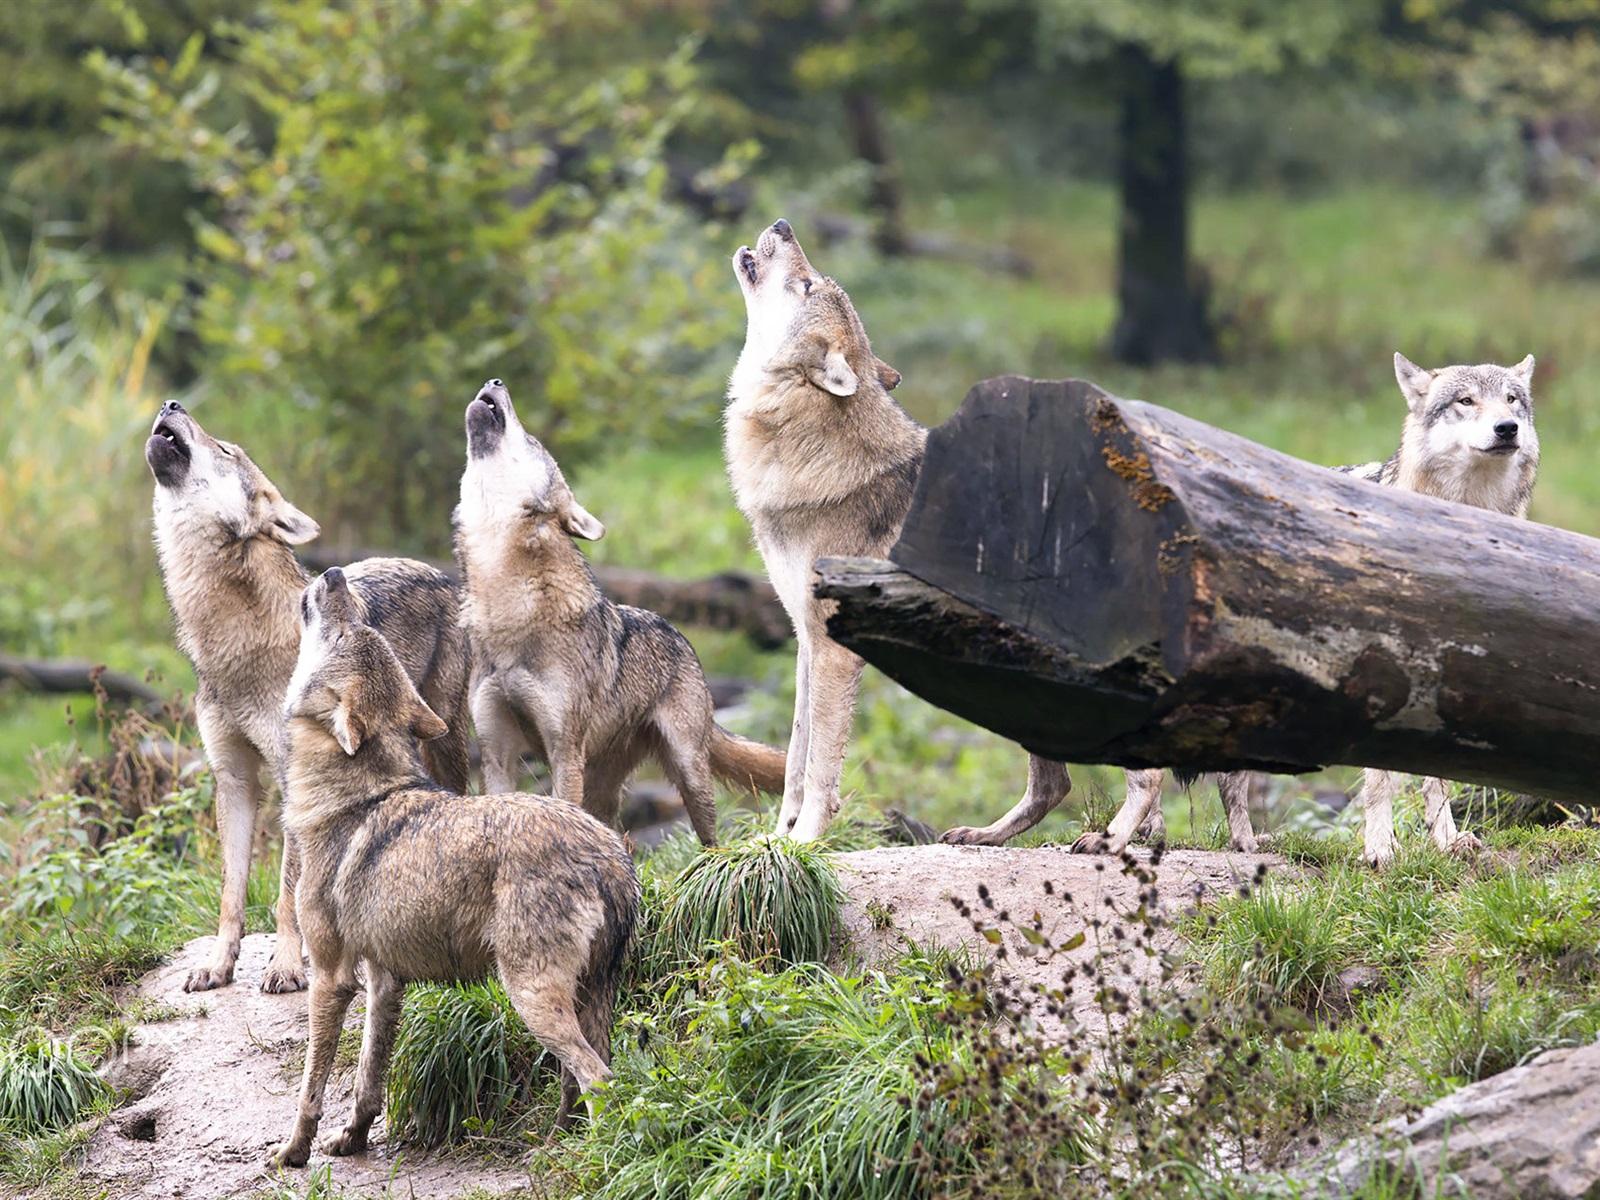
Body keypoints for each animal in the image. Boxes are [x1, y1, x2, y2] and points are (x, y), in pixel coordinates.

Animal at [144, 404, 470, 998]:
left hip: (446, 739)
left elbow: (287, 893)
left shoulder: (292, 777)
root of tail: (437, 571)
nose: (171, 405)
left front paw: (288, 966)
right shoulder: (232, 777)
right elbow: (231, 892)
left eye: (226, 449)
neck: (232, 646)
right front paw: (219, 965)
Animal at [270, 569, 636, 1171]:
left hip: (530, 997)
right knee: (583, 1078)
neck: (355, 797)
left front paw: (293, 1152)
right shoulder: (383, 980)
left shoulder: (330, 975)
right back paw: (556, 1146)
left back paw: (591, 1160)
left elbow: (311, 1084)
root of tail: (611, 857)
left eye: (354, 630)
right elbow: (368, 1078)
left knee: (598, 1078)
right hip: (588, 999)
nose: (334, 575)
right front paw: (353, 1140)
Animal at [454, 377, 784, 844]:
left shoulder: (563, 751)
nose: (495, 380)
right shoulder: (497, 751)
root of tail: (679, 634)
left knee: (708, 837)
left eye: (532, 441)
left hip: (688, 772)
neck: (508, 607)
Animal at [726, 219, 1075, 844]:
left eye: (808, 284)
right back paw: (986, 837)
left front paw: (807, 841)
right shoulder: (805, 642)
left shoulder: (834, 649)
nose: (783, 225)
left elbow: (821, 766)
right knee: (1056, 785)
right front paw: (777, 839)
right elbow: (794, 757)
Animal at [1075, 352, 1536, 870]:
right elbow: (1381, 781)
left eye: (1512, 400)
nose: (1508, 428)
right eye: (1466, 401)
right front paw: (1380, 849)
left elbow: (1436, 779)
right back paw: (1121, 837)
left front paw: (1447, 841)